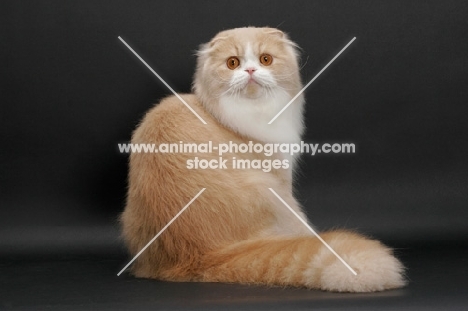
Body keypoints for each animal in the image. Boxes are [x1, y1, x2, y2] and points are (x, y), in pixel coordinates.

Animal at [120, 26, 406, 292]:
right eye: (233, 63)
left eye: (265, 59)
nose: (250, 71)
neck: (251, 113)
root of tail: (200, 255)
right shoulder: (281, 179)